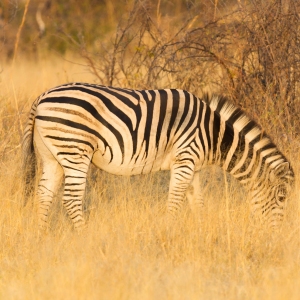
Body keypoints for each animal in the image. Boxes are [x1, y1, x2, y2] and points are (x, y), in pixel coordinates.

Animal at [22, 83, 294, 231]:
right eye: (281, 198)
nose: (274, 237)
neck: (213, 134)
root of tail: (41, 97)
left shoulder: (193, 166)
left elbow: (198, 203)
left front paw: (201, 232)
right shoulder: (185, 159)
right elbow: (174, 202)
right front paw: (169, 233)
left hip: (52, 156)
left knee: (43, 195)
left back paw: (42, 236)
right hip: (75, 149)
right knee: (70, 199)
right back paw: (84, 235)